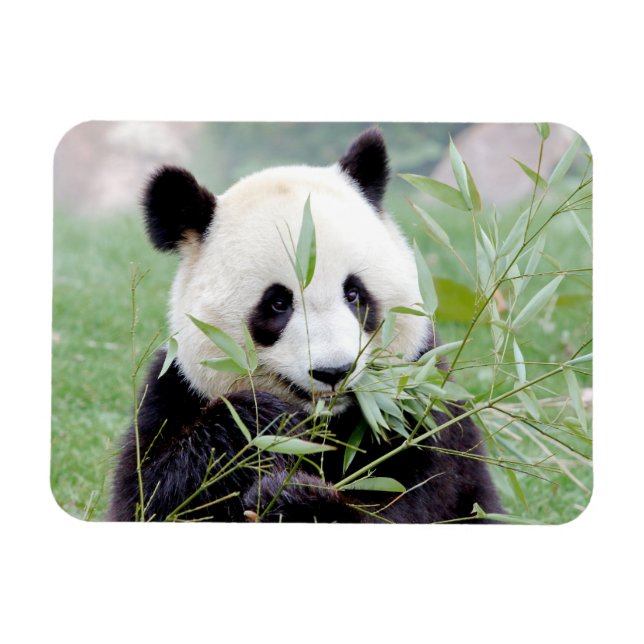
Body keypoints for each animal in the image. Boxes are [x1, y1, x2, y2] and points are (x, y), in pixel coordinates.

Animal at [108, 127, 503, 523]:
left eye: (354, 294)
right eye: (277, 303)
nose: (334, 371)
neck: (329, 424)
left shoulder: (424, 407)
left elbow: (412, 500)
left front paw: (292, 498)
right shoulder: (176, 391)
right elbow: (151, 493)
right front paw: (267, 423)